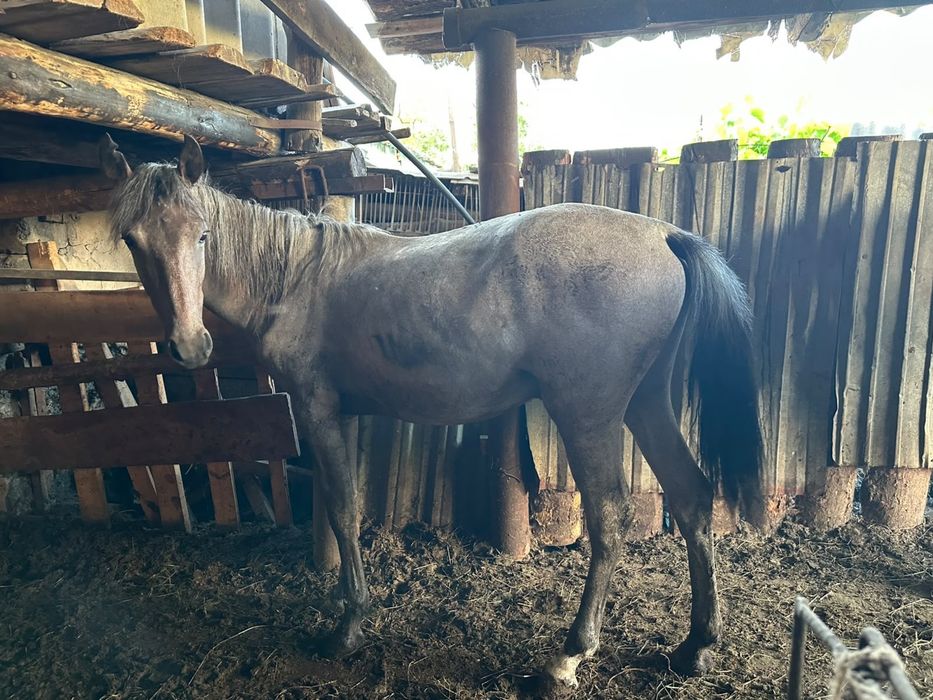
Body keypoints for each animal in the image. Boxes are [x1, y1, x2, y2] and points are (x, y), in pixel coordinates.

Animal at [100, 134, 765, 691]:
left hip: (589, 415)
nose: (189, 346)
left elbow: (343, 511)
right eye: (135, 242)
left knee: (610, 518)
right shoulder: (345, 414)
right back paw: (696, 646)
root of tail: (663, 236)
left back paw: (568, 656)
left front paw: (347, 628)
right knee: (692, 496)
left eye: (203, 234)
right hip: (647, 404)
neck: (297, 279)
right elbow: (347, 510)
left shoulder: (319, 411)